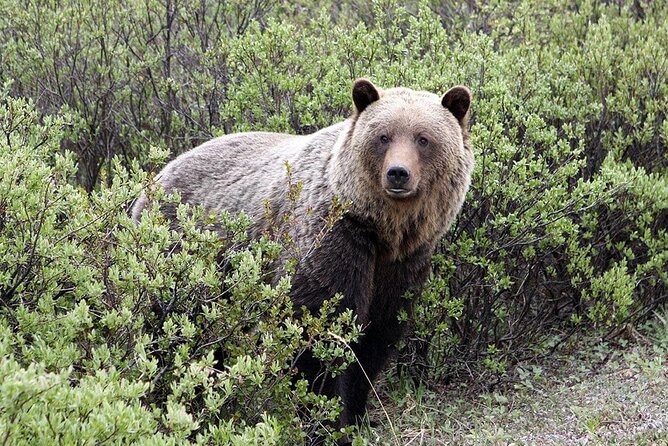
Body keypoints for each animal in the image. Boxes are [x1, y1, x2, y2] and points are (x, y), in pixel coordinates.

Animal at [132, 79, 473, 441]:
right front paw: (326, 421)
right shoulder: (331, 240)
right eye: (383, 136)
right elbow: (317, 333)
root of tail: (157, 176)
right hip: (179, 260)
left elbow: (376, 337)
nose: (398, 173)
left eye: (423, 138)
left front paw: (356, 416)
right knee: (169, 328)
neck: (382, 231)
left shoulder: (403, 263)